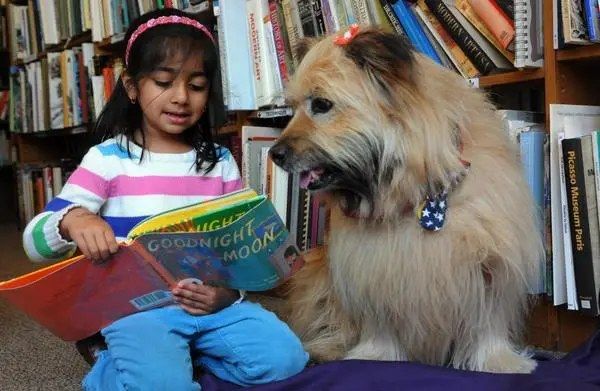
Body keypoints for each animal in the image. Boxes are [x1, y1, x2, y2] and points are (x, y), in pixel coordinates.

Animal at [268, 28, 544, 374]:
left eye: (321, 104)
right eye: (293, 108)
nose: (275, 154)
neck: (421, 194)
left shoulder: (491, 266)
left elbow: (487, 324)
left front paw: (498, 361)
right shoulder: (373, 270)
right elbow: (380, 323)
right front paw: (374, 356)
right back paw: (325, 349)